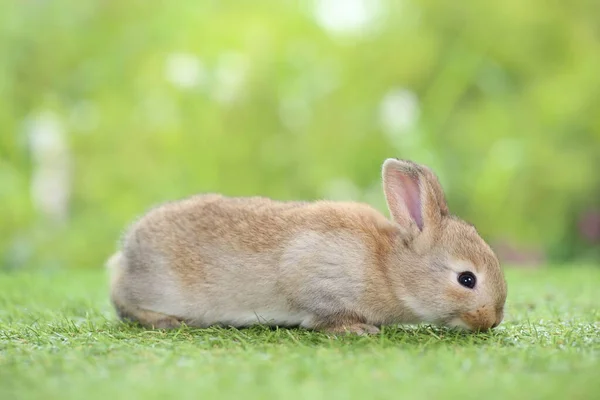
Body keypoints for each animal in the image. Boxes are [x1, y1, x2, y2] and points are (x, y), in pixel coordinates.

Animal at [108, 159, 506, 334]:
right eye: (467, 279)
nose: (493, 320)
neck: (389, 269)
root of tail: (124, 256)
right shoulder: (318, 280)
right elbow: (326, 316)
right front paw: (357, 330)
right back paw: (167, 321)